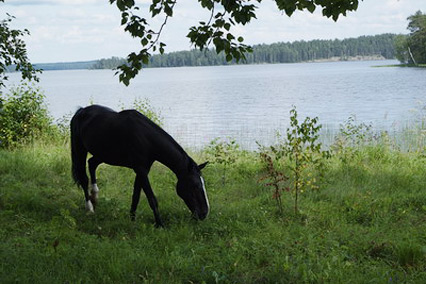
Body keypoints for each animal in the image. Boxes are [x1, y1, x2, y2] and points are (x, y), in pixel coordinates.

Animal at [70, 104, 209, 226]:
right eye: (195, 186)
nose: (204, 213)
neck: (146, 138)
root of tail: (81, 111)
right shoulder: (141, 170)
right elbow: (151, 199)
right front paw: (160, 224)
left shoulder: (142, 170)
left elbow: (136, 196)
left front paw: (132, 219)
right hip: (80, 149)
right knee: (83, 178)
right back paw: (90, 207)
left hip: (103, 154)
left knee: (92, 163)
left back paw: (95, 195)